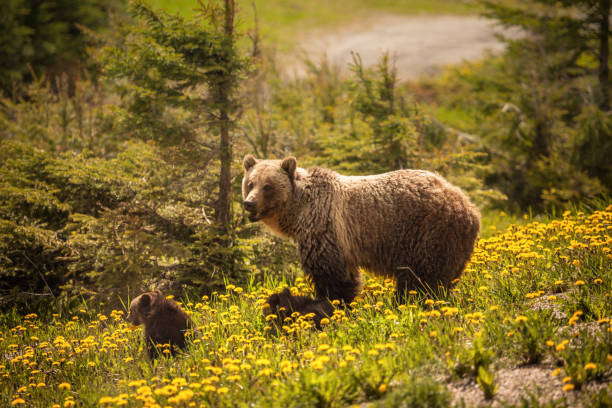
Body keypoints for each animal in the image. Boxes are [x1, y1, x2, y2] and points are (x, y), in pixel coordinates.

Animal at [241, 155, 480, 308]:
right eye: (250, 183)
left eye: (268, 186)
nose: (249, 203)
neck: (298, 210)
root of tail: (469, 206)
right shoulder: (342, 242)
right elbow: (348, 276)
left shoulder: (324, 227)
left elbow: (329, 274)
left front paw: (330, 302)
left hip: (428, 232)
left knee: (422, 278)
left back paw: (408, 302)